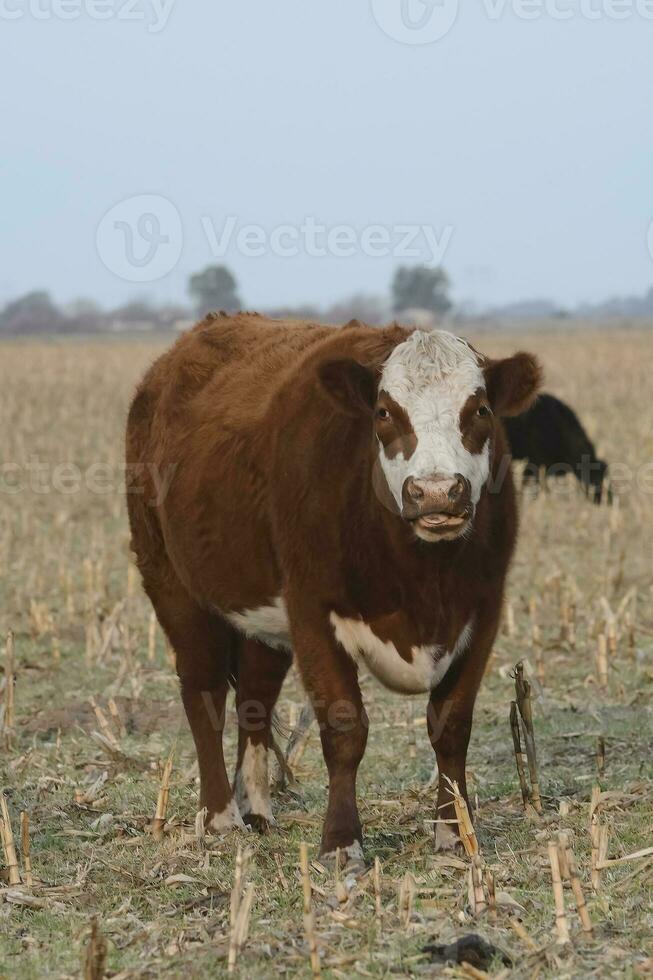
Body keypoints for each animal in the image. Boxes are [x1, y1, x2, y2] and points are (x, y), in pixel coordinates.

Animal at [126, 314, 540, 864]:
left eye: (481, 409)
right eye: (384, 412)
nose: (434, 492)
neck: (423, 577)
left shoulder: (483, 612)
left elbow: (451, 725)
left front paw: (455, 833)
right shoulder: (312, 611)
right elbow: (345, 728)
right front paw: (342, 842)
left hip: (263, 619)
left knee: (254, 697)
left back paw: (256, 808)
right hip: (173, 585)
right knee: (205, 695)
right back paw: (220, 817)